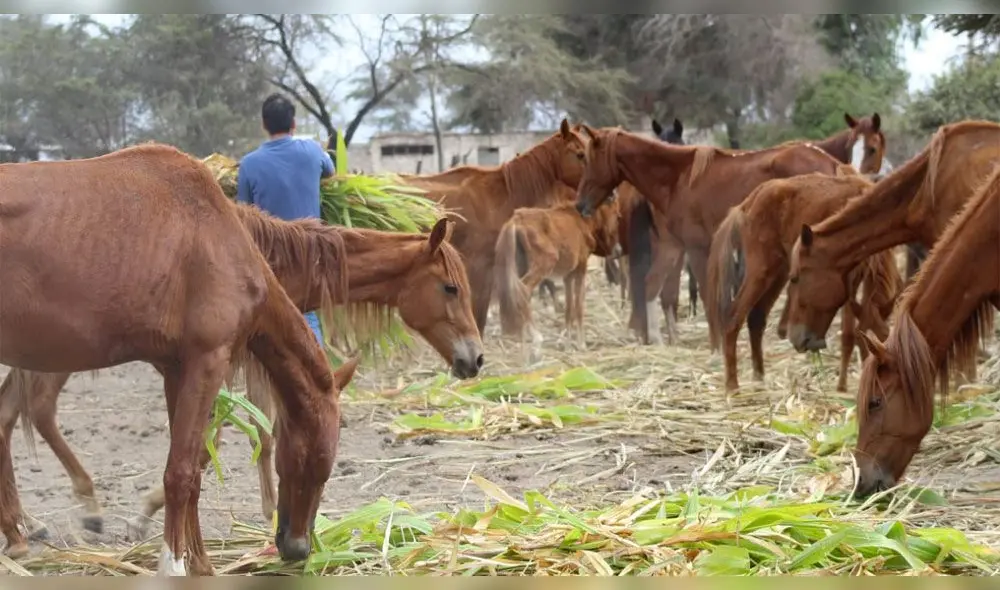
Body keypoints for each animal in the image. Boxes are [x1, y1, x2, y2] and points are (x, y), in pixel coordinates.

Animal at [0, 143, 355, 576]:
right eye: (316, 460)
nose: (298, 548)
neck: (217, 236)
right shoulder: (208, 363)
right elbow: (181, 472)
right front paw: (173, 565)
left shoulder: (176, 370)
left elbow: (193, 472)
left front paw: (200, 565)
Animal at [0, 214, 482, 543]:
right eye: (451, 288)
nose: (476, 359)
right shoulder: (221, 360)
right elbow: (221, 441)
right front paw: (148, 513)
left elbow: (249, 435)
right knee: (34, 409)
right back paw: (69, 510)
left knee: (13, 413)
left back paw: (28, 525)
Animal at [493, 199, 620, 363]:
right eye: (617, 215)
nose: (618, 250)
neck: (580, 219)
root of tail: (516, 220)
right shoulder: (581, 269)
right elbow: (579, 307)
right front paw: (581, 344)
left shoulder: (568, 276)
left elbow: (568, 309)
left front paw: (567, 346)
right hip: (544, 263)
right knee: (523, 290)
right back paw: (536, 341)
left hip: (518, 266)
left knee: (515, 294)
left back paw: (523, 349)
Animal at [573, 125, 844, 350]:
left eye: (588, 160)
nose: (580, 205)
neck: (677, 178)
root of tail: (830, 162)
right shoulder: (674, 246)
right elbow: (655, 285)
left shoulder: (696, 248)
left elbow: (705, 294)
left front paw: (716, 344)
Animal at [706, 171, 903, 392]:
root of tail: (749, 201)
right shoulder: (847, 283)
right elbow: (849, 335)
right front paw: (842, 386)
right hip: (761, 271)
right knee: (733, 317)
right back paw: (732, 384)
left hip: (779, 272)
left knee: (756, 318)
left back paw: (759, 377)